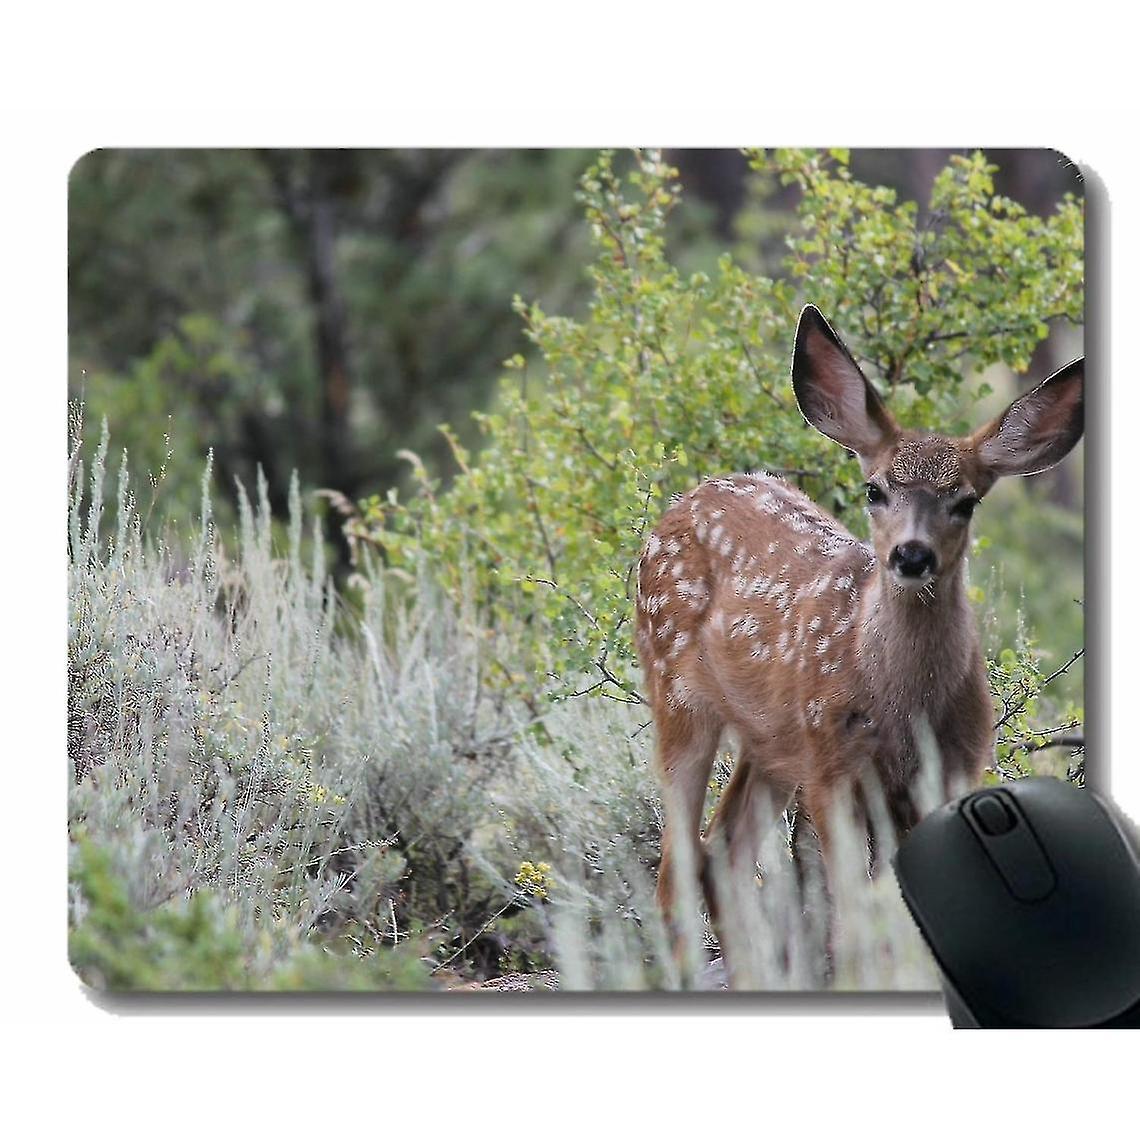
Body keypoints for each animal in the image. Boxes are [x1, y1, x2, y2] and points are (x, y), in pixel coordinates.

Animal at [634, 304, 1084, 961]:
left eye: (966, 501)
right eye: (875, 490)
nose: (912, 555)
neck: (902, 704)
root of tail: (685, 499)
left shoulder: (955, 765)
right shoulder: (833, 762)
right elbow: (851, 915)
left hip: (771, 742)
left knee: (722, 850)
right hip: (677, 690)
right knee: (674, 874)